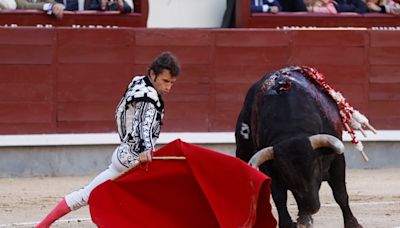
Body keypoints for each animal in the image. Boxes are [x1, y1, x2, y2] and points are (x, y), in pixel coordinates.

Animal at [234, 66, 362, 228]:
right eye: (286, 174)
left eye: (315, 167)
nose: (312, 208)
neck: (292, 130)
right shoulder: (269, 166)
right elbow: (279, 195)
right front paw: (287, 223)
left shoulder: (337, 159)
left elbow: (340, 194)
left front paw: (353, 224)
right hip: (242, 150)